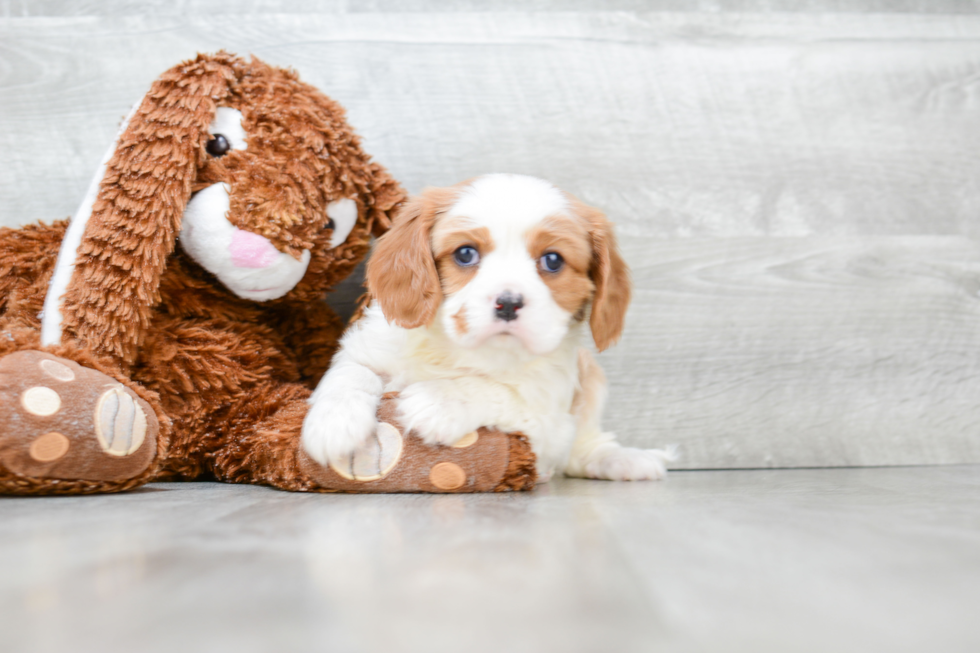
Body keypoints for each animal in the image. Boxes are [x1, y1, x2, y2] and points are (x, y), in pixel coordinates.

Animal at [304, 173, 672, 478]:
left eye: (553, 260)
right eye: (465, 254)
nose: (508, 302)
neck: (458, 351)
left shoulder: (547, 416)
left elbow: (500, 391)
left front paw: (440, 400)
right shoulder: (369, 347)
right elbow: (352, 373)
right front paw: (334, 422)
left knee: (583, 449)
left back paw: (623, 460)